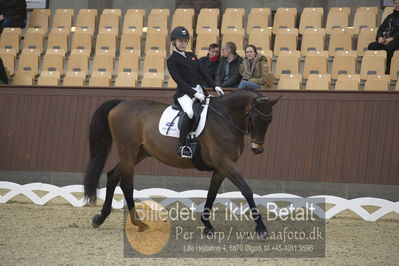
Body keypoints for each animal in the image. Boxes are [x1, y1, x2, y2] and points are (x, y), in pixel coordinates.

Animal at [83, 88, 280, 236]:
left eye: (270, 120)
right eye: (253, 117)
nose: (258, 148)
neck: (225, 119)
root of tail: (121, 103)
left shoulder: (221, 167)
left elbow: (212, 194)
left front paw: (207, 225)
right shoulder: (225, 163)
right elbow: (246, 190)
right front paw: (261, 228)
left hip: (138, 153)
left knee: (113, 176)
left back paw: (101, 218)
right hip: (128, 151)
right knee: (126, 183)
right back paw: (138, 223)